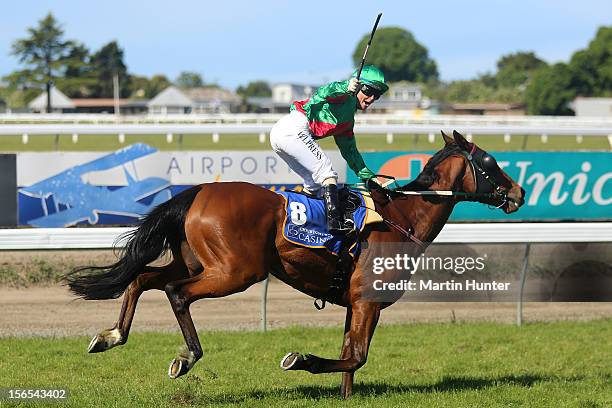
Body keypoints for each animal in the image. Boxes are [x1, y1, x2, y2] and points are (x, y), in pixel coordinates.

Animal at [68, 131, 524, 398]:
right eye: (490, 163)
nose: (518, 193)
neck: (402, 218)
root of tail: (196, 191)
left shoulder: (354, 302)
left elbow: (349, 356)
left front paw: (344, 396)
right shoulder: (369, 301)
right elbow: (357, 356)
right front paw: (300, 359)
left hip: (197, 262)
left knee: (144, 278)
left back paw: (110, 336)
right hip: (235, 272)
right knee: (175, 292)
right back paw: (187, 357)